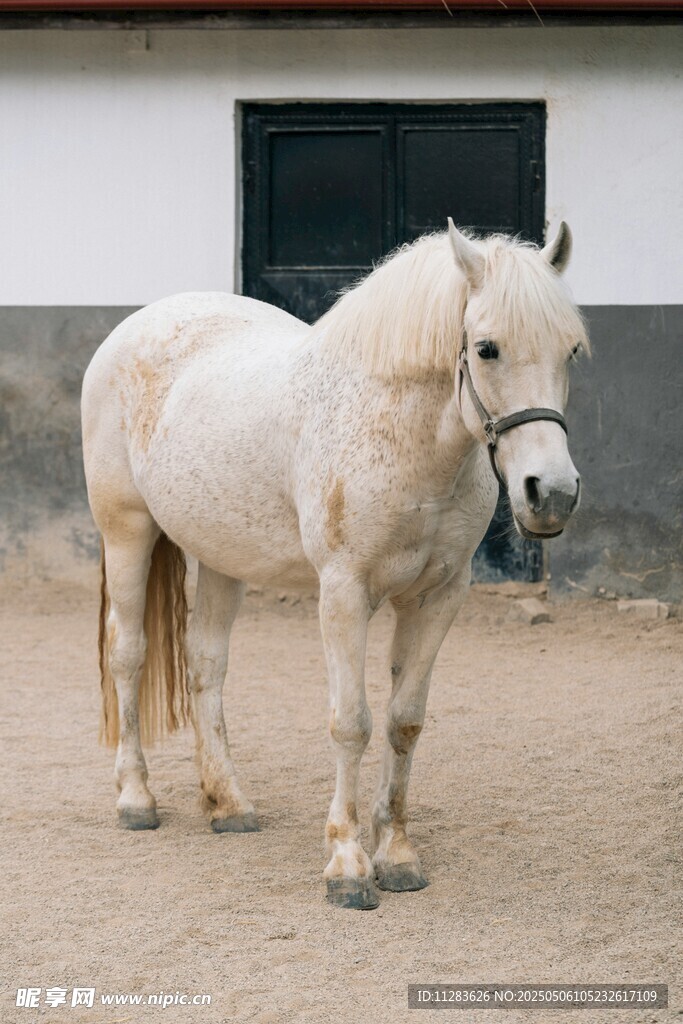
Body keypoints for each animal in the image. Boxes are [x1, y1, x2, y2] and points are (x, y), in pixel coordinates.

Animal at [81, 219, 589, 911]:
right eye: (487, 349)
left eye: (571, 350)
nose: (552, 493)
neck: (404, 438)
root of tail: (137, 324)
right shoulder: (344, 593)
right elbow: (351, 724)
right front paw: (347, 864)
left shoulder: (438, 598)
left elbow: (404, 722)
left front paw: (396, 854)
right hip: (127, 531)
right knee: (127, 655)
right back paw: (136, 798)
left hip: (221, 558)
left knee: (206, 664)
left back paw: (227, 804)